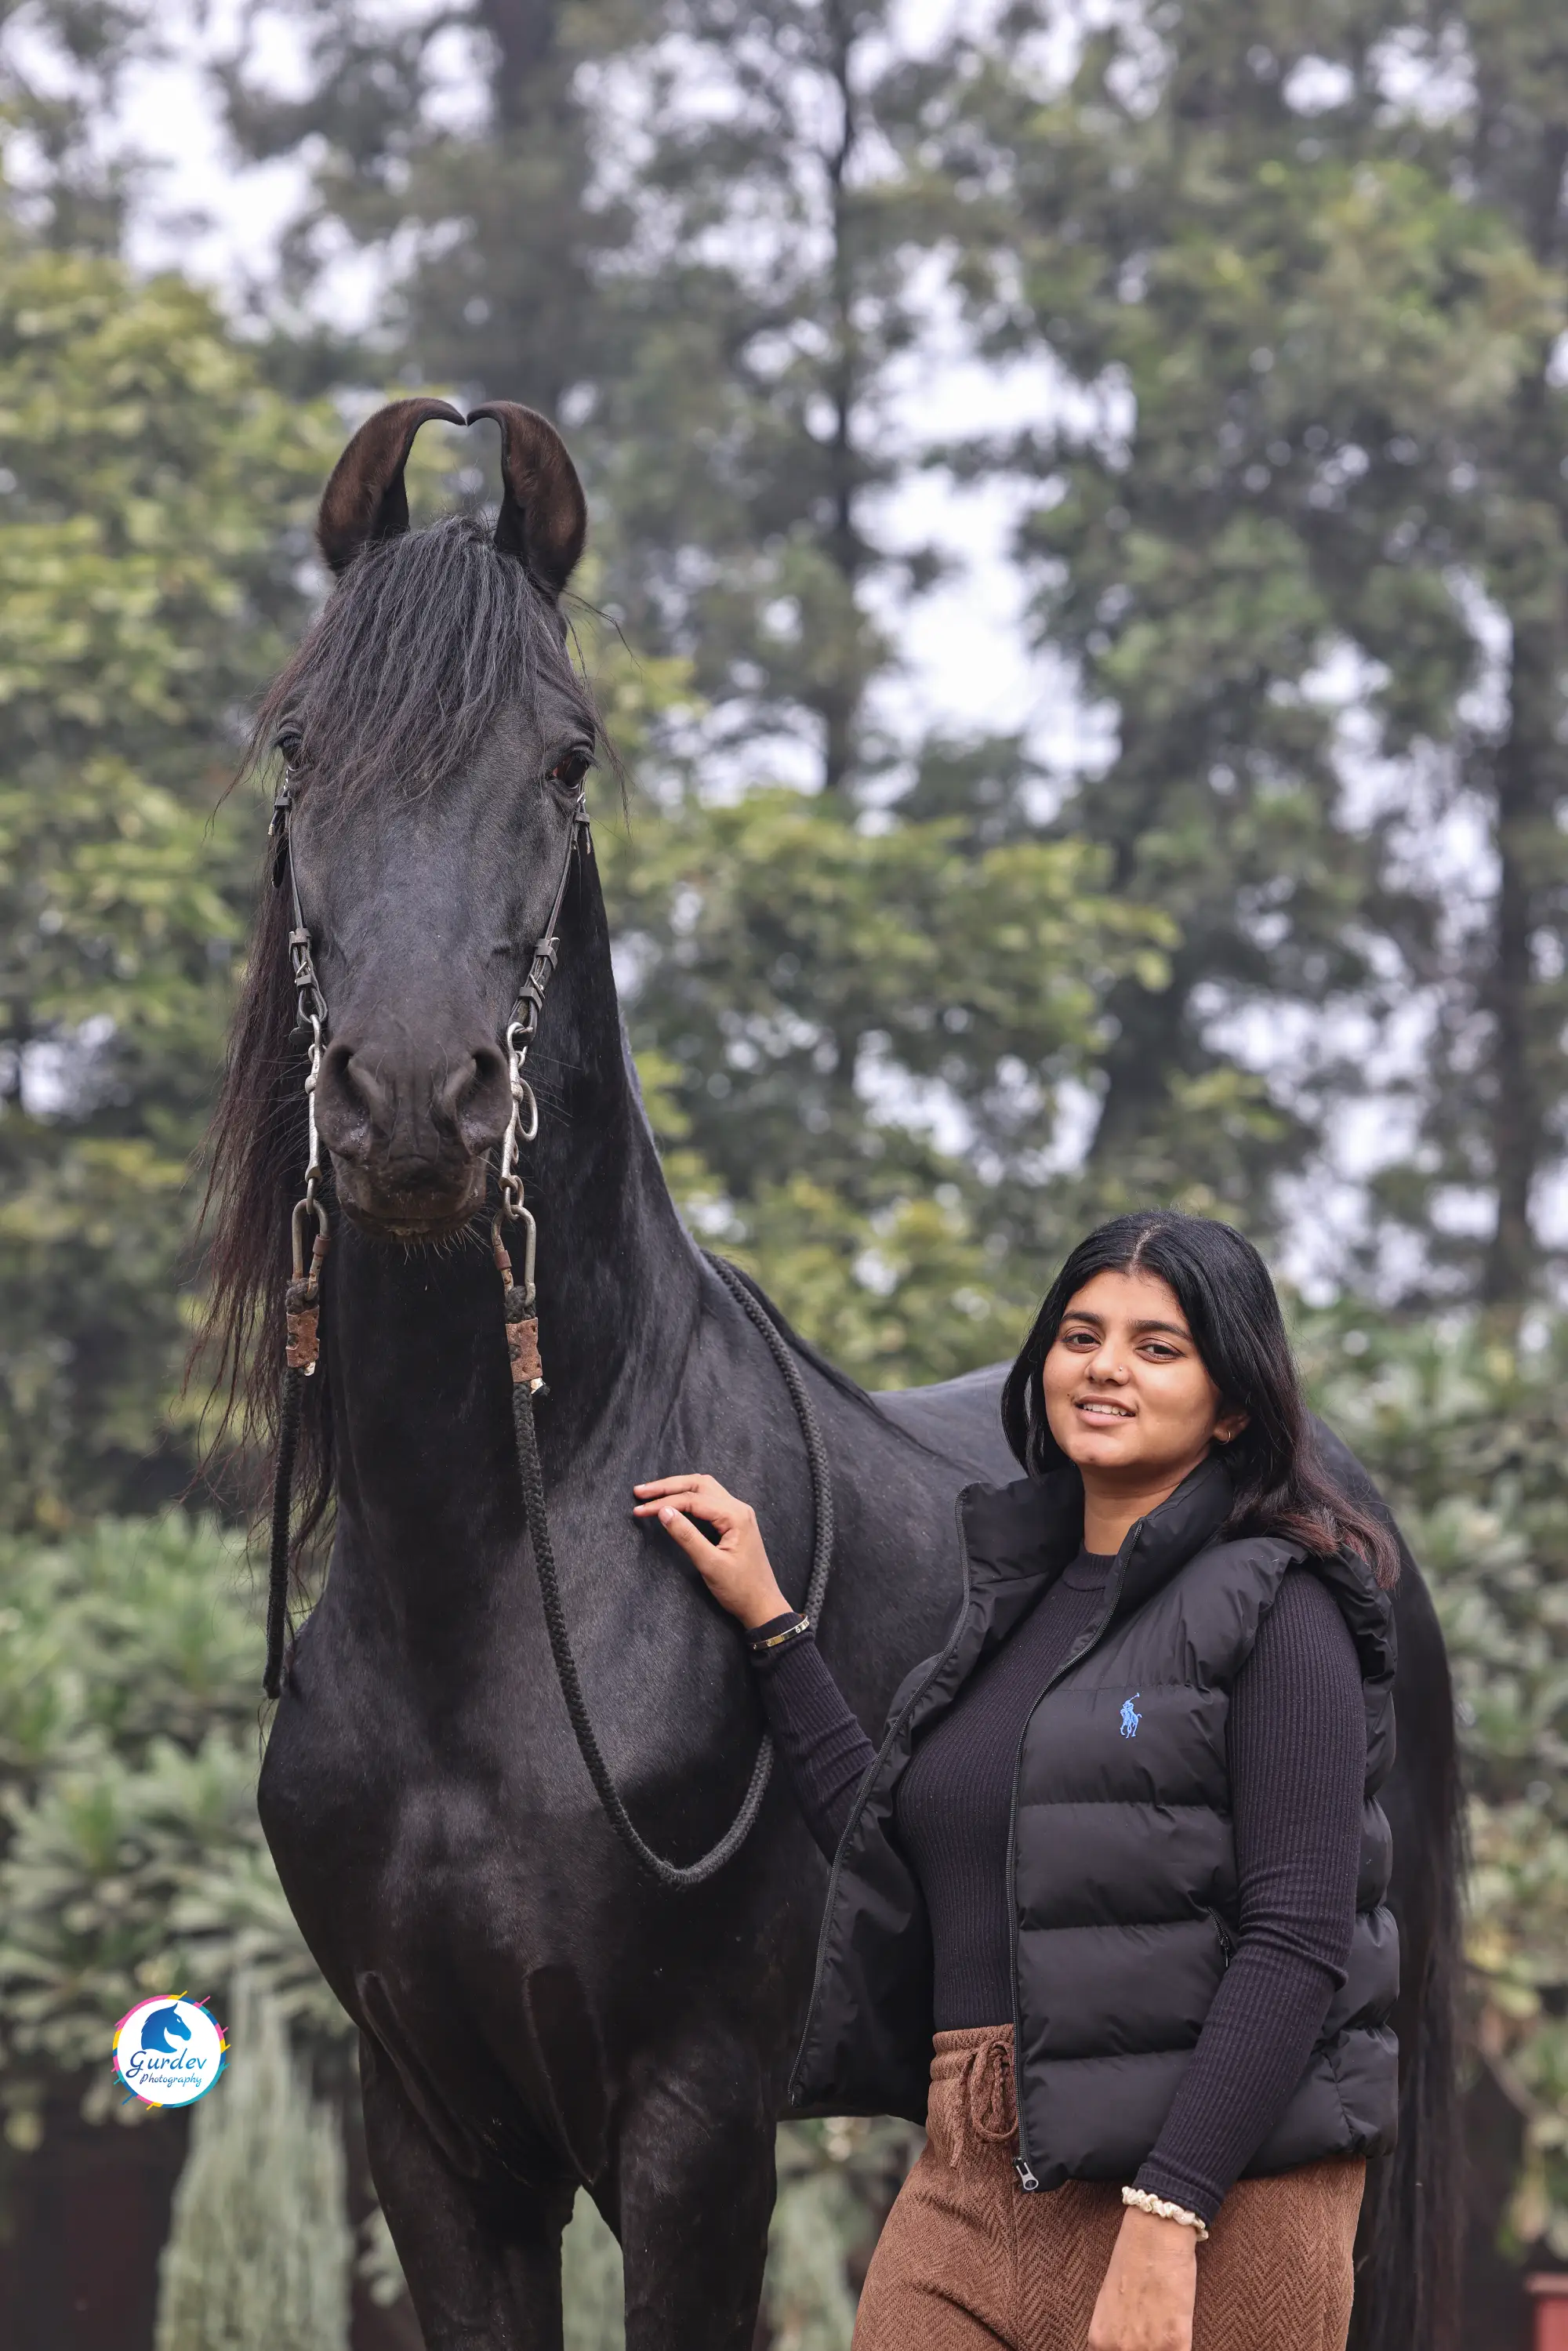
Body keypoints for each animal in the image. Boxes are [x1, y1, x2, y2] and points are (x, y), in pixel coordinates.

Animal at [201, 398, 1462, 2351]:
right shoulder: (438, 2132)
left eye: (566, 760)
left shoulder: (694, 2124)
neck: (496, 1568)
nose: (413, 1101)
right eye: (295, 745)